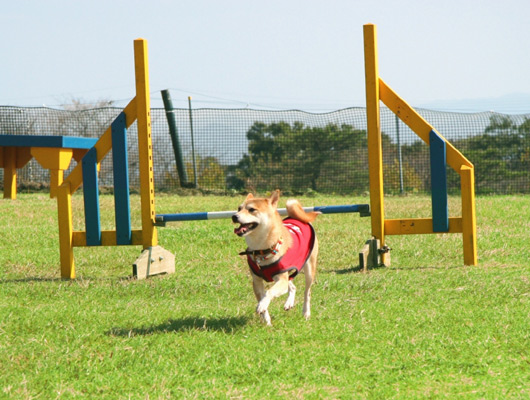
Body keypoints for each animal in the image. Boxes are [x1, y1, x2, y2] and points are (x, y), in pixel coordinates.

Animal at [231, 191, 318, 324]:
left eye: (252, 210)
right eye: (239, 209)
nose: (234, 216)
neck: (262, 250)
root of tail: (297, 218)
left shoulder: (281, 278)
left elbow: (269, 292)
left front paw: (262, 305)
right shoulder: (257, 281)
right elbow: (262, 297)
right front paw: (266, 320)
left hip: (309, 269)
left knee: (307, 292)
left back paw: (306, 312)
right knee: (292, 286)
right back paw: (289, 303)